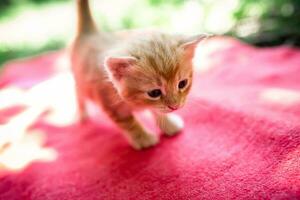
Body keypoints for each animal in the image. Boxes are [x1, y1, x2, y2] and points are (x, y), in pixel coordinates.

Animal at [70, 0, 209, 149]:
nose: (175, 107)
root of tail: (89, 33)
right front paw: (143, 138)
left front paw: (168, 125)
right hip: (78, 81)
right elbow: (129, 123)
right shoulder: (110, 105)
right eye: (154, 93)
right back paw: (82, 114)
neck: (136, 103)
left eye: (182, 84)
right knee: (78, 94)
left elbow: (158, 111)